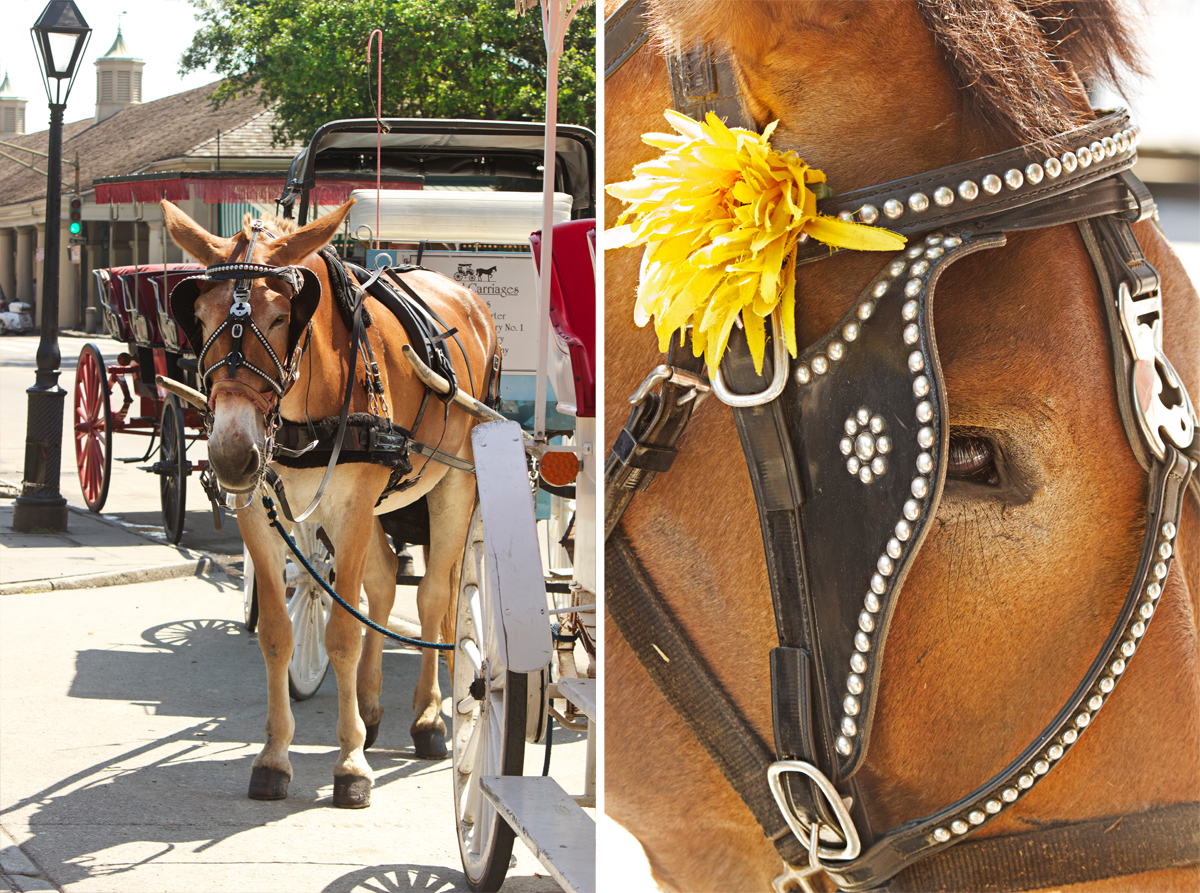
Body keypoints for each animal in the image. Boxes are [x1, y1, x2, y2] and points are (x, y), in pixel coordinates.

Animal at [161, 199, 497, 808]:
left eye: (279, 317)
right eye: (197, 313)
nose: (231, 455)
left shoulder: (353, 508)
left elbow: (342, 635)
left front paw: (350, 765)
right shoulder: (260, 512)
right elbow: (277, 634)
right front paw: (275, 757)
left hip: (454, 484)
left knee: (434, 596)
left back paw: (429, 719)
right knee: (384, 584)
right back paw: (370, 709)